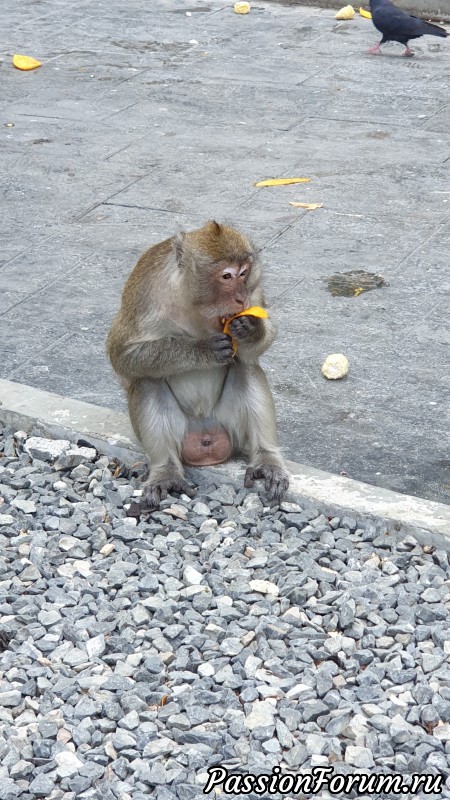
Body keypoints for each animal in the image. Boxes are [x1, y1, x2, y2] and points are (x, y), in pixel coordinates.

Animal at [107, 222, 288, 504]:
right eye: (226, 276)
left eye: (244, 273)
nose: (241, 299)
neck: (194, 306)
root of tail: (206, 437)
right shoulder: (144, 292)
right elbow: (123, 355)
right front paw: (203, 349)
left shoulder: (254, 290)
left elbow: (254, 350)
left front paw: (251, 329)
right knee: (147, 379)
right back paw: (166, 472)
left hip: (231, 426)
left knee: (246, 367)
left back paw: (266, 460)